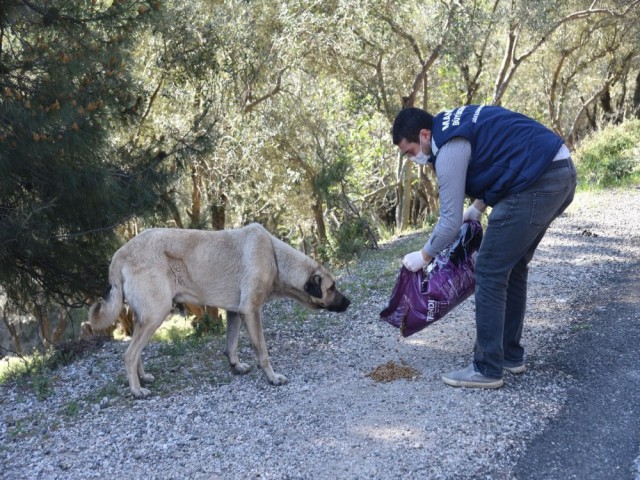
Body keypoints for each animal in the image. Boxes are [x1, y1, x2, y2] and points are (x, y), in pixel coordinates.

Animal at [84, 223, 350, 400]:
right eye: (332, 287)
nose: (349, 302)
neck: (274, 256)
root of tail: (119, 255)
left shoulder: (234, 312)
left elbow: (231, 344)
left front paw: (236, 366)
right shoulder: (251, 311)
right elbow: (262, 352)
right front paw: (272, 378)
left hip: (146, 318)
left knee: (136, 351)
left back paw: (142, 378)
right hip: (156, 314)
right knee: (129, 354)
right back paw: (137, 389)